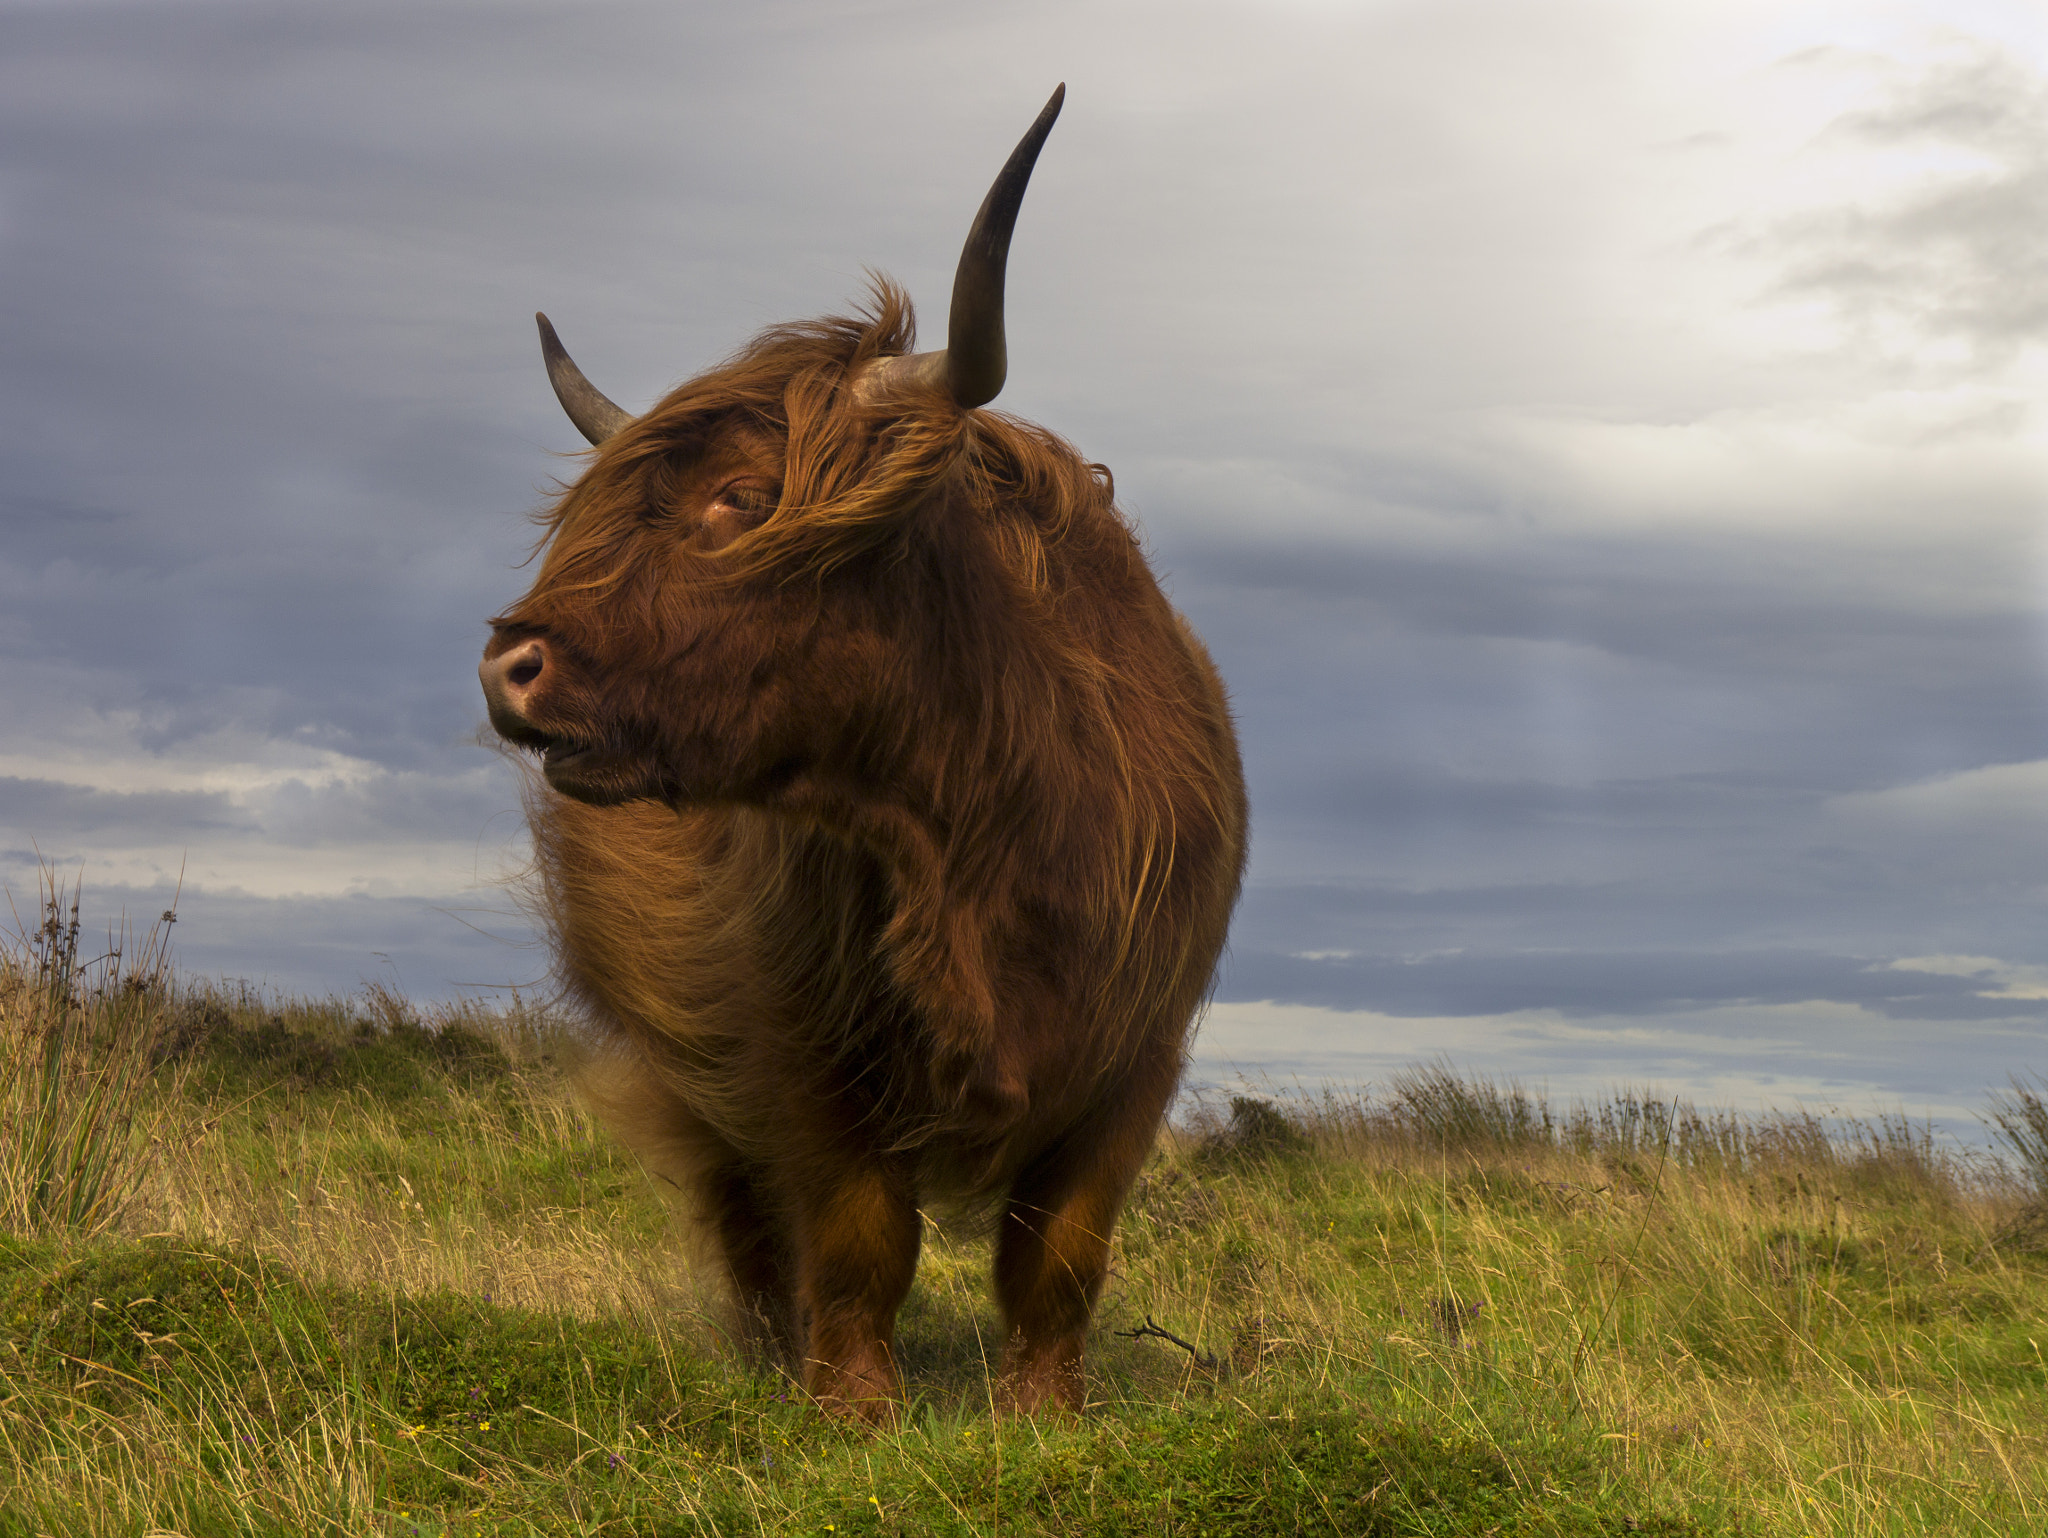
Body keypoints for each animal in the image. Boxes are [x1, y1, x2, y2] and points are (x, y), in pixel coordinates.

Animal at [479, 86, 1246, 1419]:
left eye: (742, 497)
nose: (510, 663)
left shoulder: (1135, 1053)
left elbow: (1059, 1248)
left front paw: (1044, 1410)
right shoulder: (794, 1042)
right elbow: (856, 1233)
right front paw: (849, 1406)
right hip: (686, 1065)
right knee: (744, 1223)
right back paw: (765, 1353)